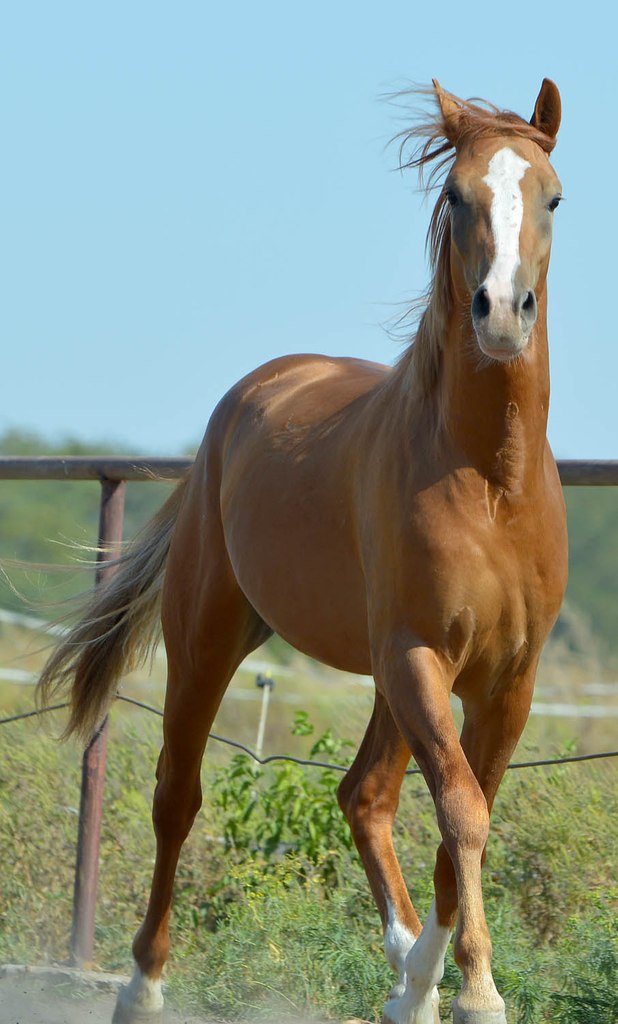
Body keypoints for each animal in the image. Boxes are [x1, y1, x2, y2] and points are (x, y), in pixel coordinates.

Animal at [38, 78, 567, 1024]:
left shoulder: (510, 676)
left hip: (383, 676)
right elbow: (462, 810)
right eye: (454, 195)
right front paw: (479, 992)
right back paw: (143, 985)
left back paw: (405, 982)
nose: (503, 315)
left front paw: (434, 985)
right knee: (178, 796)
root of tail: (256, 390)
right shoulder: (420, 656)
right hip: (212, 639)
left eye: (553, 197)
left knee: (365, 796)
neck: (490, 482)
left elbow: (464, 814)